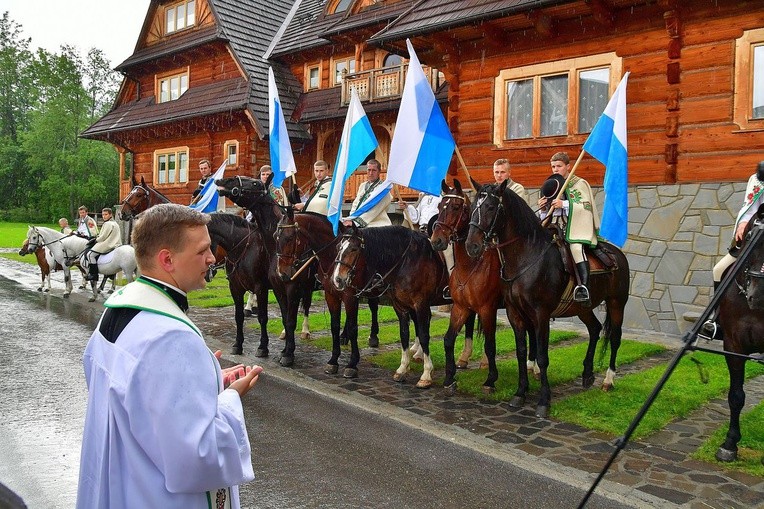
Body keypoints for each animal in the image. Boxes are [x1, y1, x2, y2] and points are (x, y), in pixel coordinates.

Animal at [212, 176, 314, 366]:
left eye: (254, 183)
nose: (221, 180)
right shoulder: (235, 288)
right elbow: (238, 316)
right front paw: (237, 345)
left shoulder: (262, 288)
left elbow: (263, 317)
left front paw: (263, 347)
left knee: (306, 307)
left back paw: (305, 332)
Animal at [462, 179, 628, 416]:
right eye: (474, 206)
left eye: (491, 207)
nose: (472, 246)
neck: (526, 258)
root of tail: (617, 254)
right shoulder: (515, 313)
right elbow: (522, 352)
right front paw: (520, 393)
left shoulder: (540, 315)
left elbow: (542, 356)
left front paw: (543, 401)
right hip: (583, 308)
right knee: (595, 329)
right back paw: (587, 375)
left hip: (616, 303)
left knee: (614, 338)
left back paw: (608, 380)